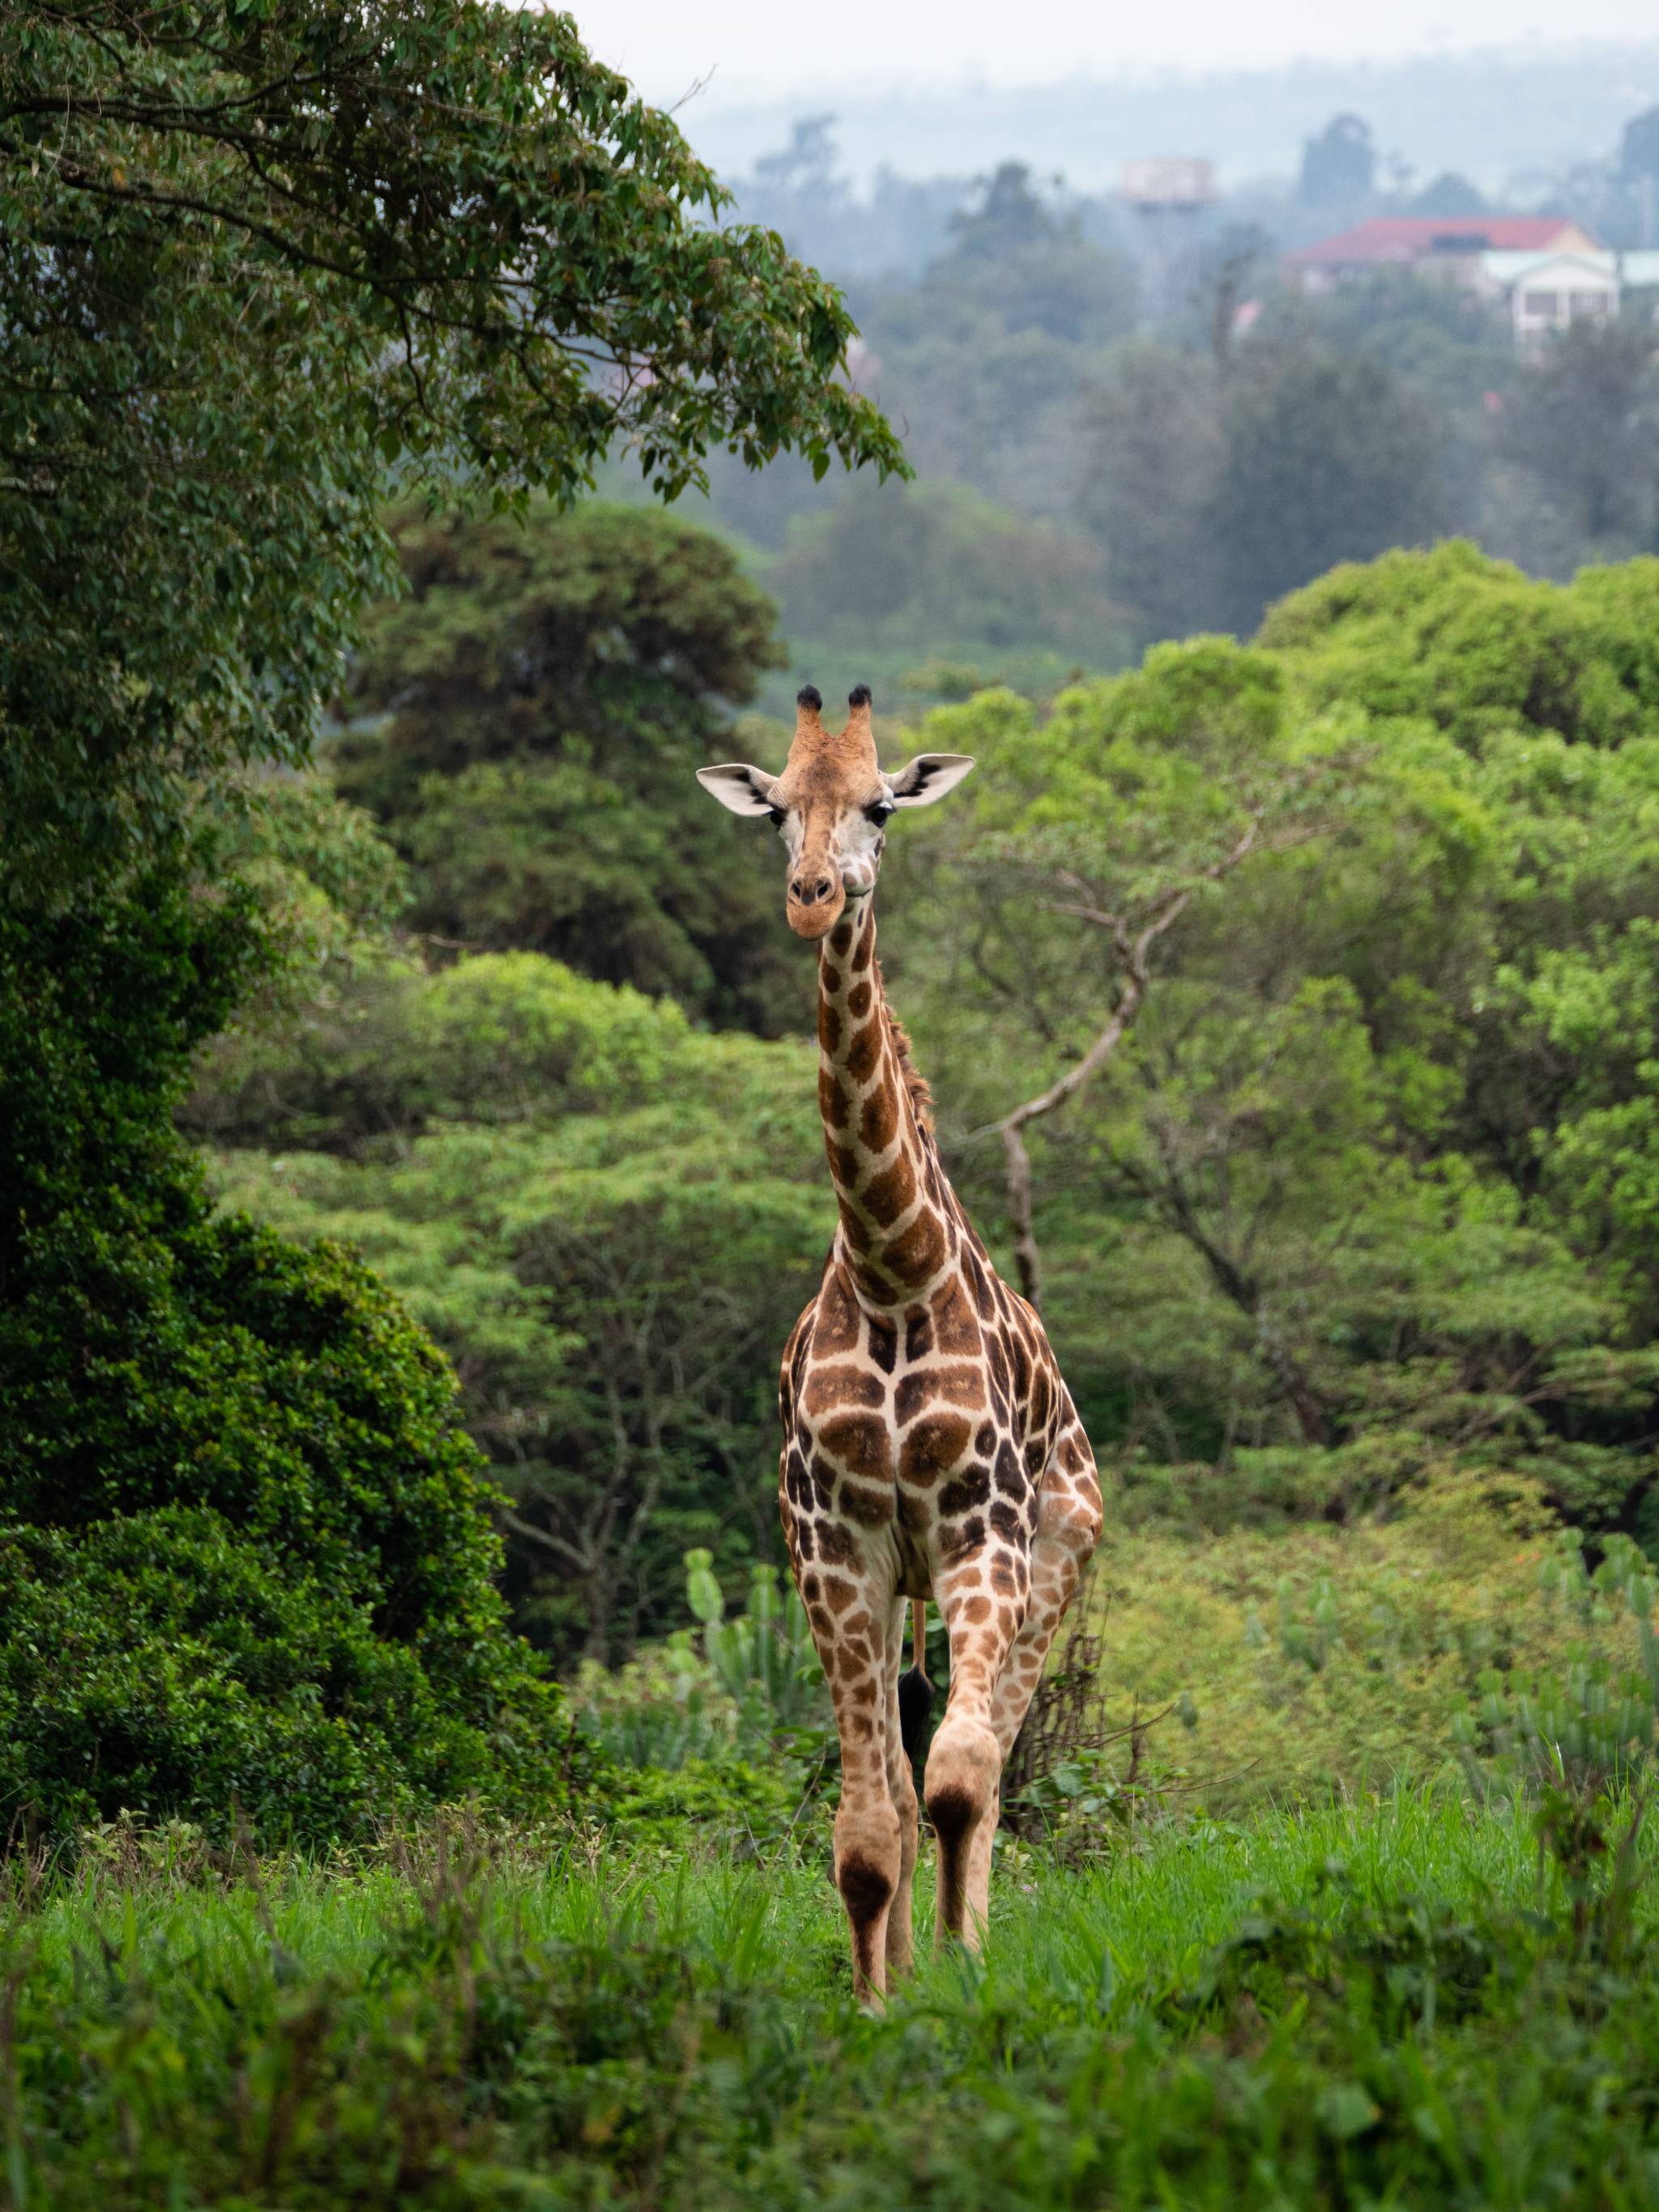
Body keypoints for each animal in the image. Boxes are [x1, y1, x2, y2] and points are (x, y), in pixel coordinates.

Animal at [698, 676, 1106, 2008]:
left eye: (880, 805)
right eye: (778, 806)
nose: (813, 893)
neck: (889, 1270)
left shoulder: (985, 1530)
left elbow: (964, 1778)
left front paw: (967, 1971)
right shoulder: (832, 1546)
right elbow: (868, 1826)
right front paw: (880, 1996)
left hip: (1055, 1562)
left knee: (989, 1758)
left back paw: (966, 1936)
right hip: (896, 1587)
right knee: (903, 1765)